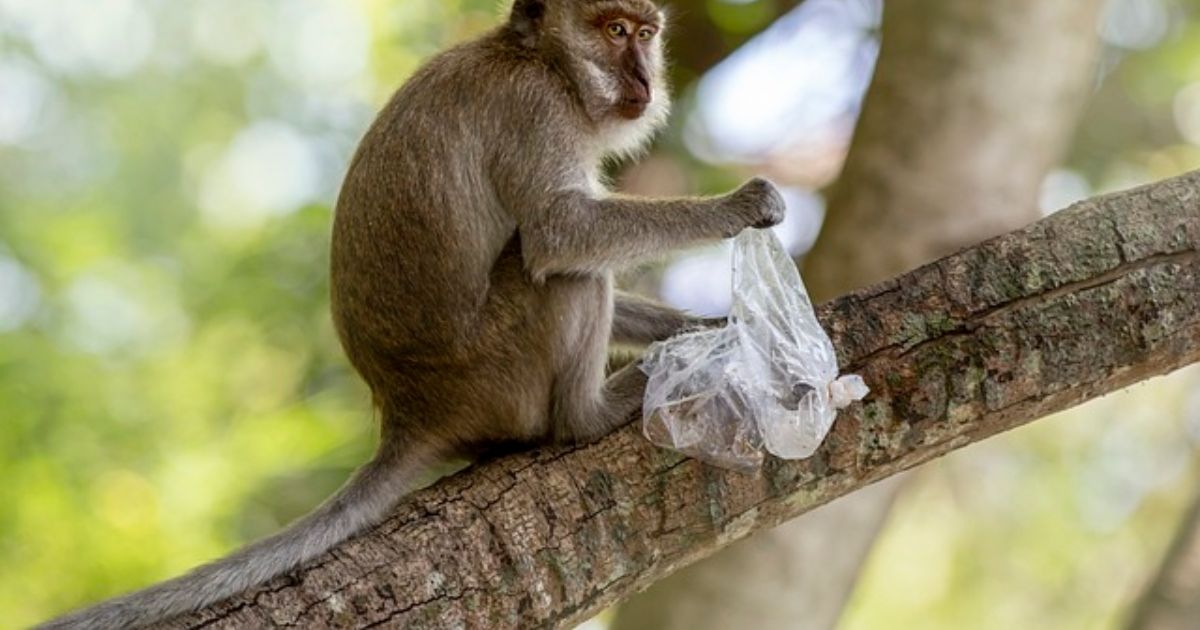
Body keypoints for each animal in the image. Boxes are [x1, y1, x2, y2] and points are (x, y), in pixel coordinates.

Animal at [37, 2, 782, 624]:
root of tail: (411, 412)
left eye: (646, 32)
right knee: (559, 272)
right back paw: (589, 415)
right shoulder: (536, 112)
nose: (643, 78)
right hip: (499, 369)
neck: (542, 62)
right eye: (614, 30)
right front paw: (737, 208)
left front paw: (708, 327)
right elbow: (561, 233)